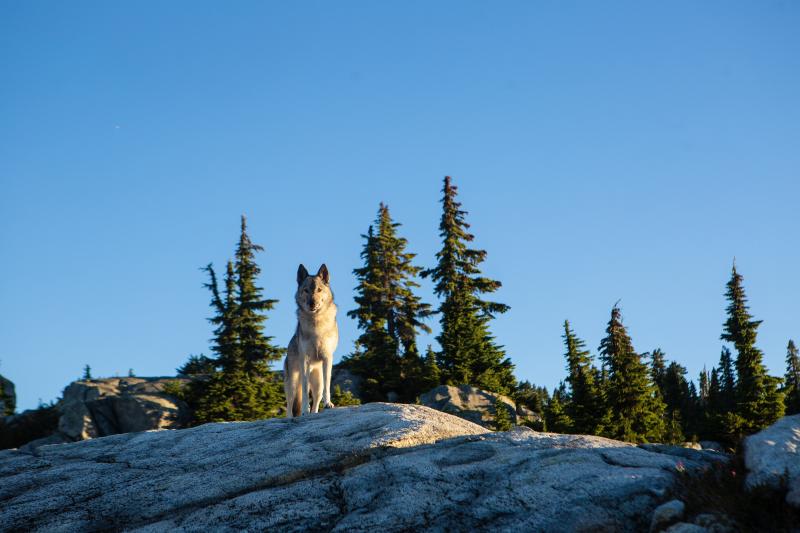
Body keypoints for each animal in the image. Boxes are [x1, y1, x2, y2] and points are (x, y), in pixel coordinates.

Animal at [284, 262, 338, 416]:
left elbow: (327, 386)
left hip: (317, 383)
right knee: (289, 404)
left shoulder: (327, 358)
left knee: (316, 399)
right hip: (292, 383)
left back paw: (313, 412)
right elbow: (304, 392)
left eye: (319, 290)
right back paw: (293, 416)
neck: (316, 324)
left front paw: (328, 404)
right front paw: (304, 410)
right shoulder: (305, 361)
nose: (312, 303)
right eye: (306, 290)